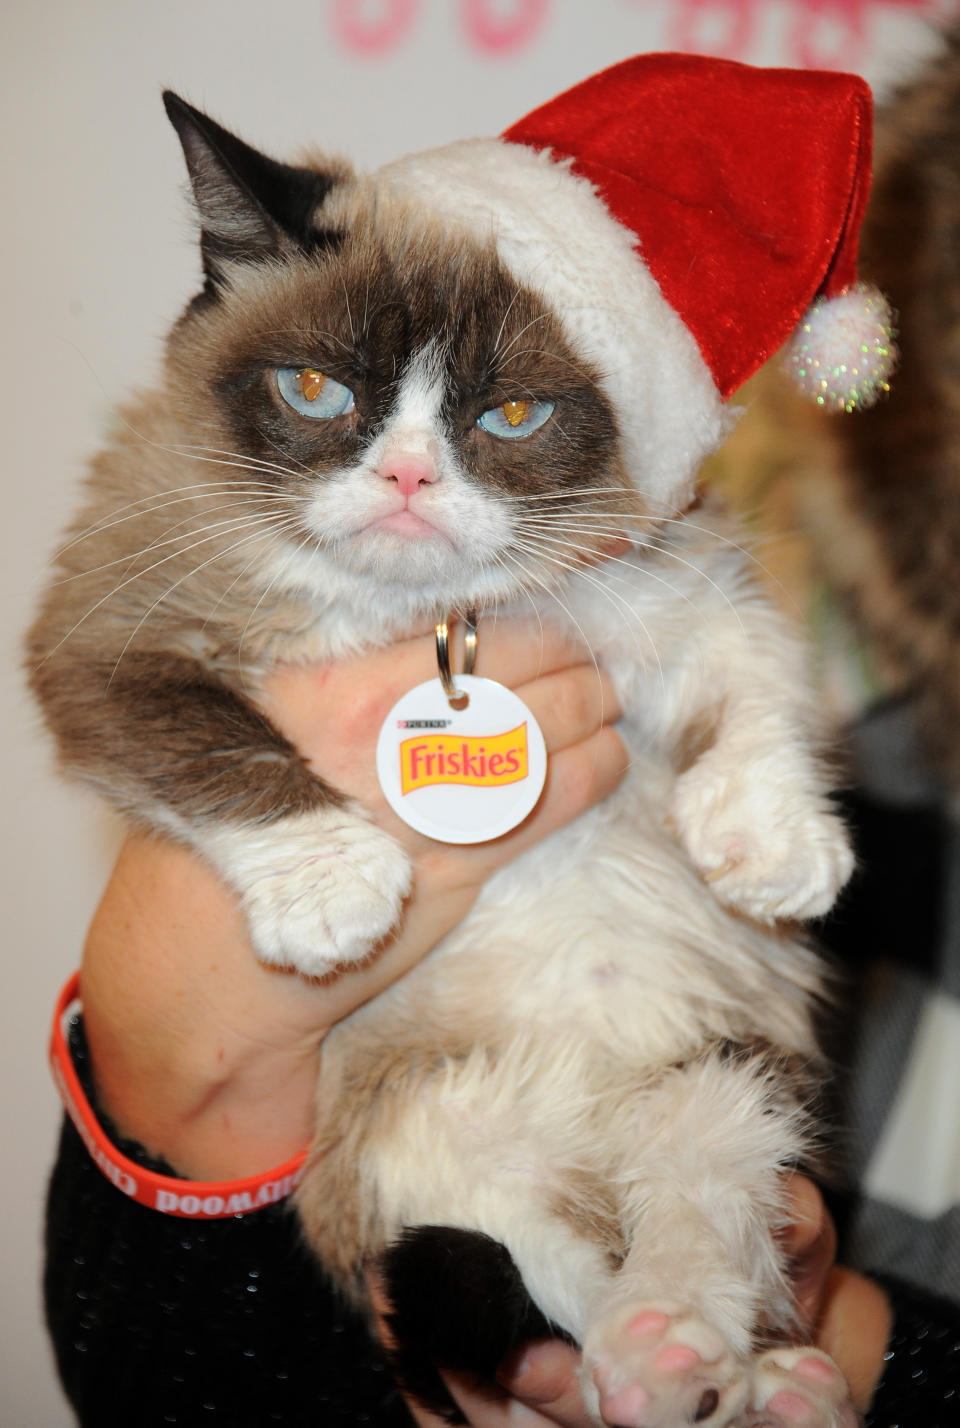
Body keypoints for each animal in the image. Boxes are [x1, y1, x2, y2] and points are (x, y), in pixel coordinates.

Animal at [26, 86, 857, 1428]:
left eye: (509, 414)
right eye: (316, 389)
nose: (411, 475)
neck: (420, 615)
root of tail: (581, 1123)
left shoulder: (666, 592)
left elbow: (755, 672)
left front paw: (773, 843)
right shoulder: (107, 633)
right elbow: (209, 738)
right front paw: (334, 892)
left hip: (714, 1071)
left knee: (694, 1213)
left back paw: (727, 1365)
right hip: (413, 1126)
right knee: (540, 1263)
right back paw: (672, 1368)